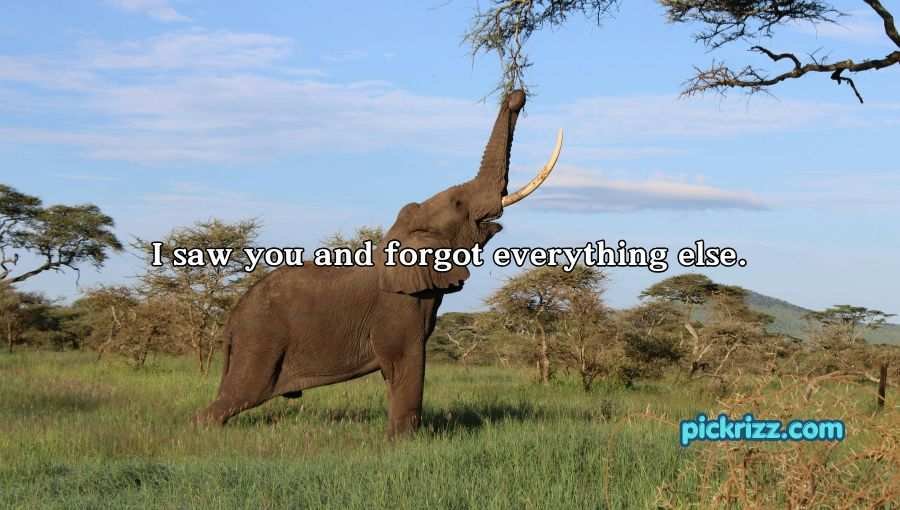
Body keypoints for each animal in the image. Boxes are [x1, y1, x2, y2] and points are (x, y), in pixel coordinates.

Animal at [195, 89, 562, 437]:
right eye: (459, 204)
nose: (516, 96)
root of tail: (230, 321)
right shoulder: (397, 305)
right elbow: (405, 361)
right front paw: (404, 443)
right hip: (260, 340)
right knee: (240, 394)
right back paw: (205, 431)